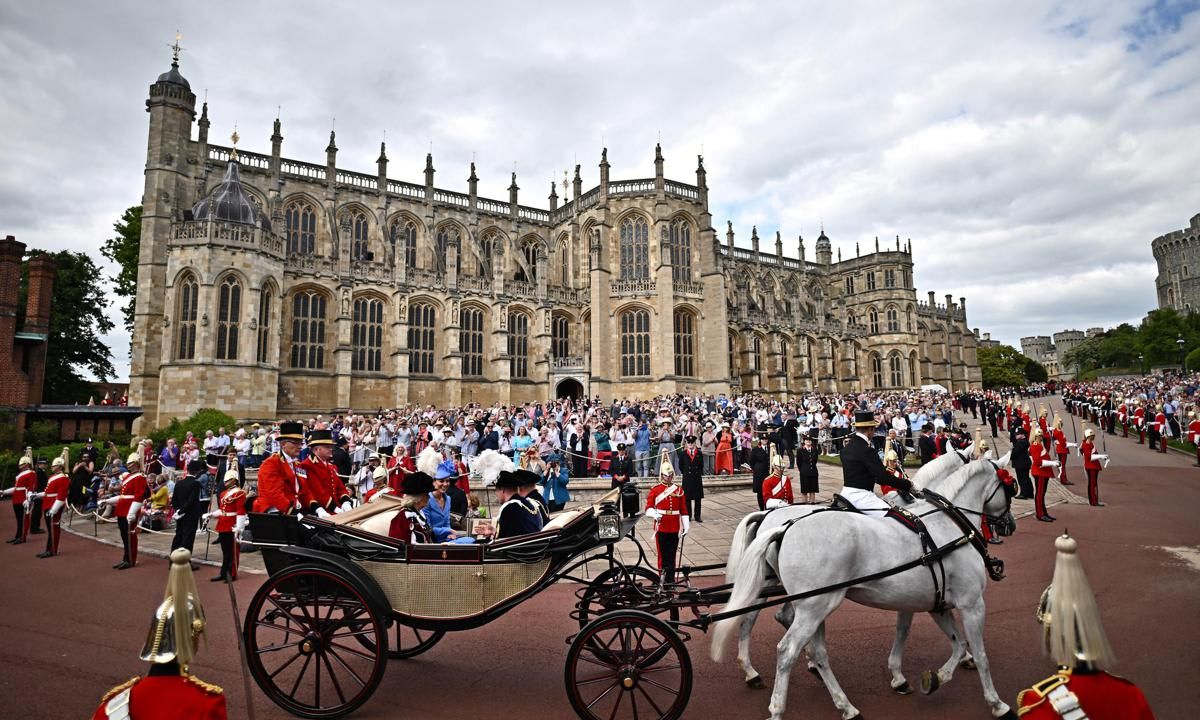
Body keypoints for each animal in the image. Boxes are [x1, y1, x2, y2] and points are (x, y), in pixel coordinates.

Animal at [715, 458, 1017, 720]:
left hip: (801, 598)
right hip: (812, 604)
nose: (1010, 525)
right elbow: (980, 654)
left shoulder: (931, 603)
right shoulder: (972, 604)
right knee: (785, 647)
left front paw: (920, 678)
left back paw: (837, 700)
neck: (946, 525)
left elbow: (943, 639)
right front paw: (997, 703)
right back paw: (777, 705)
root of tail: (781, 525)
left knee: (779, 630)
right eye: (1011, 486)